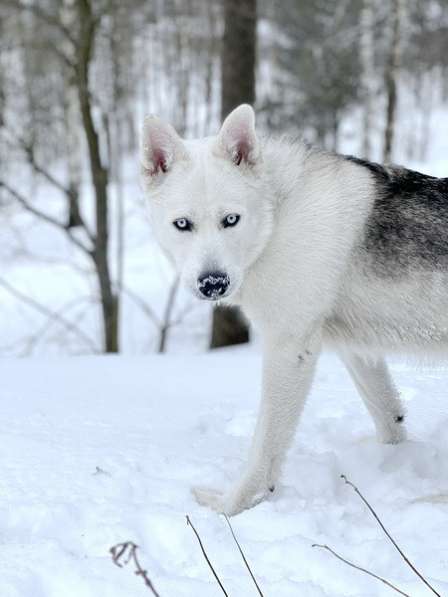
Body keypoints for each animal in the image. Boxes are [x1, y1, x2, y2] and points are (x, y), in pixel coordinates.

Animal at [141, 105, 448, 516]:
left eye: (231, 220)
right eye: (182, 225)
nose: (213, 283)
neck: (278, 215)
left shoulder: (289, 350)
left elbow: (264, 449)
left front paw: (231, 508)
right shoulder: (355, 350)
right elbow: (389, 418)